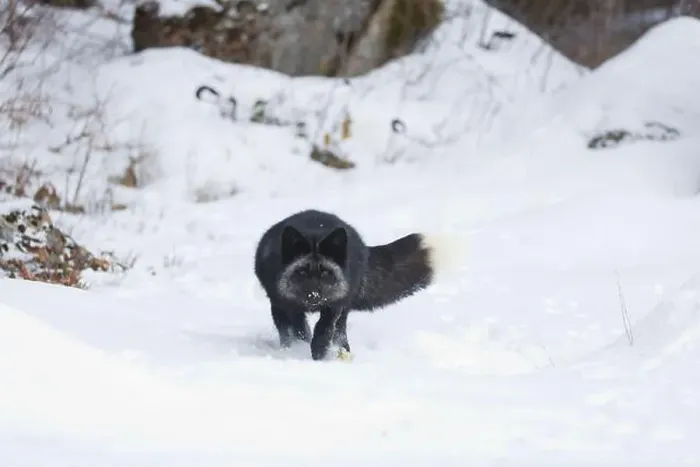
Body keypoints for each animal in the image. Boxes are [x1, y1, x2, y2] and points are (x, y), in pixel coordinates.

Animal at [253, 209, 444, 361]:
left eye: (326, 273)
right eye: (301, 273)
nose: (313, 295)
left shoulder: (336, 304)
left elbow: (324, 327)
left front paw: (319, 350)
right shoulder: (287, 304)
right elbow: (300, 329)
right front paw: (302, 347)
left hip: (345, 305)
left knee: (339, 333)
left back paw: (342, 352)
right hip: (277, 306)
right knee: (286, 329)